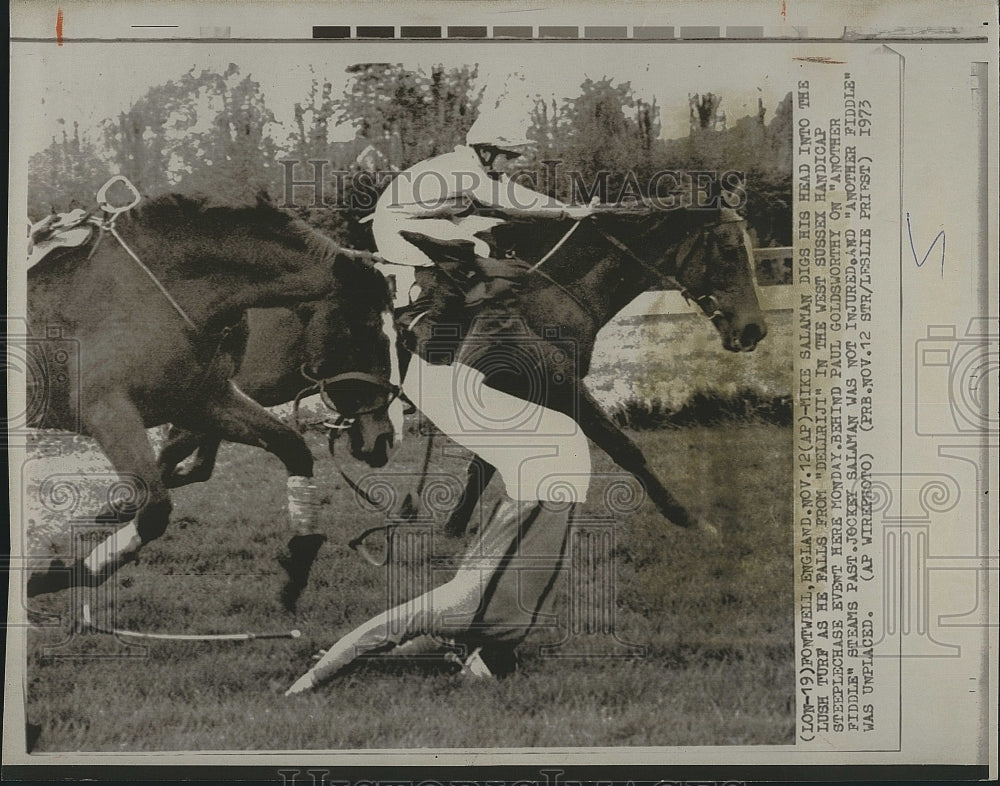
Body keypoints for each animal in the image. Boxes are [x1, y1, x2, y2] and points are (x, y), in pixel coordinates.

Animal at [24, 191, 398, 608]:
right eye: (365, 330)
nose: (382, 438)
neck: (153, 292)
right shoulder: (108, 413)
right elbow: (155, 509)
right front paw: (48, 578)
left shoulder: (204, 401)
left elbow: (292, 448)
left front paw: (299, 562)